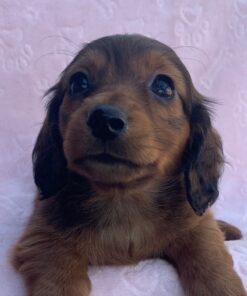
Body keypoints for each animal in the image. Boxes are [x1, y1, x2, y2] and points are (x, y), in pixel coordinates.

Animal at [12, 35, 246, 296]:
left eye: (164, 86)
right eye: (78, 82)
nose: (104, 120)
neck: (123, 200)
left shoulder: (198, 228)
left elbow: (212, 263)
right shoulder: (43, 236)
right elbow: (59, 280)